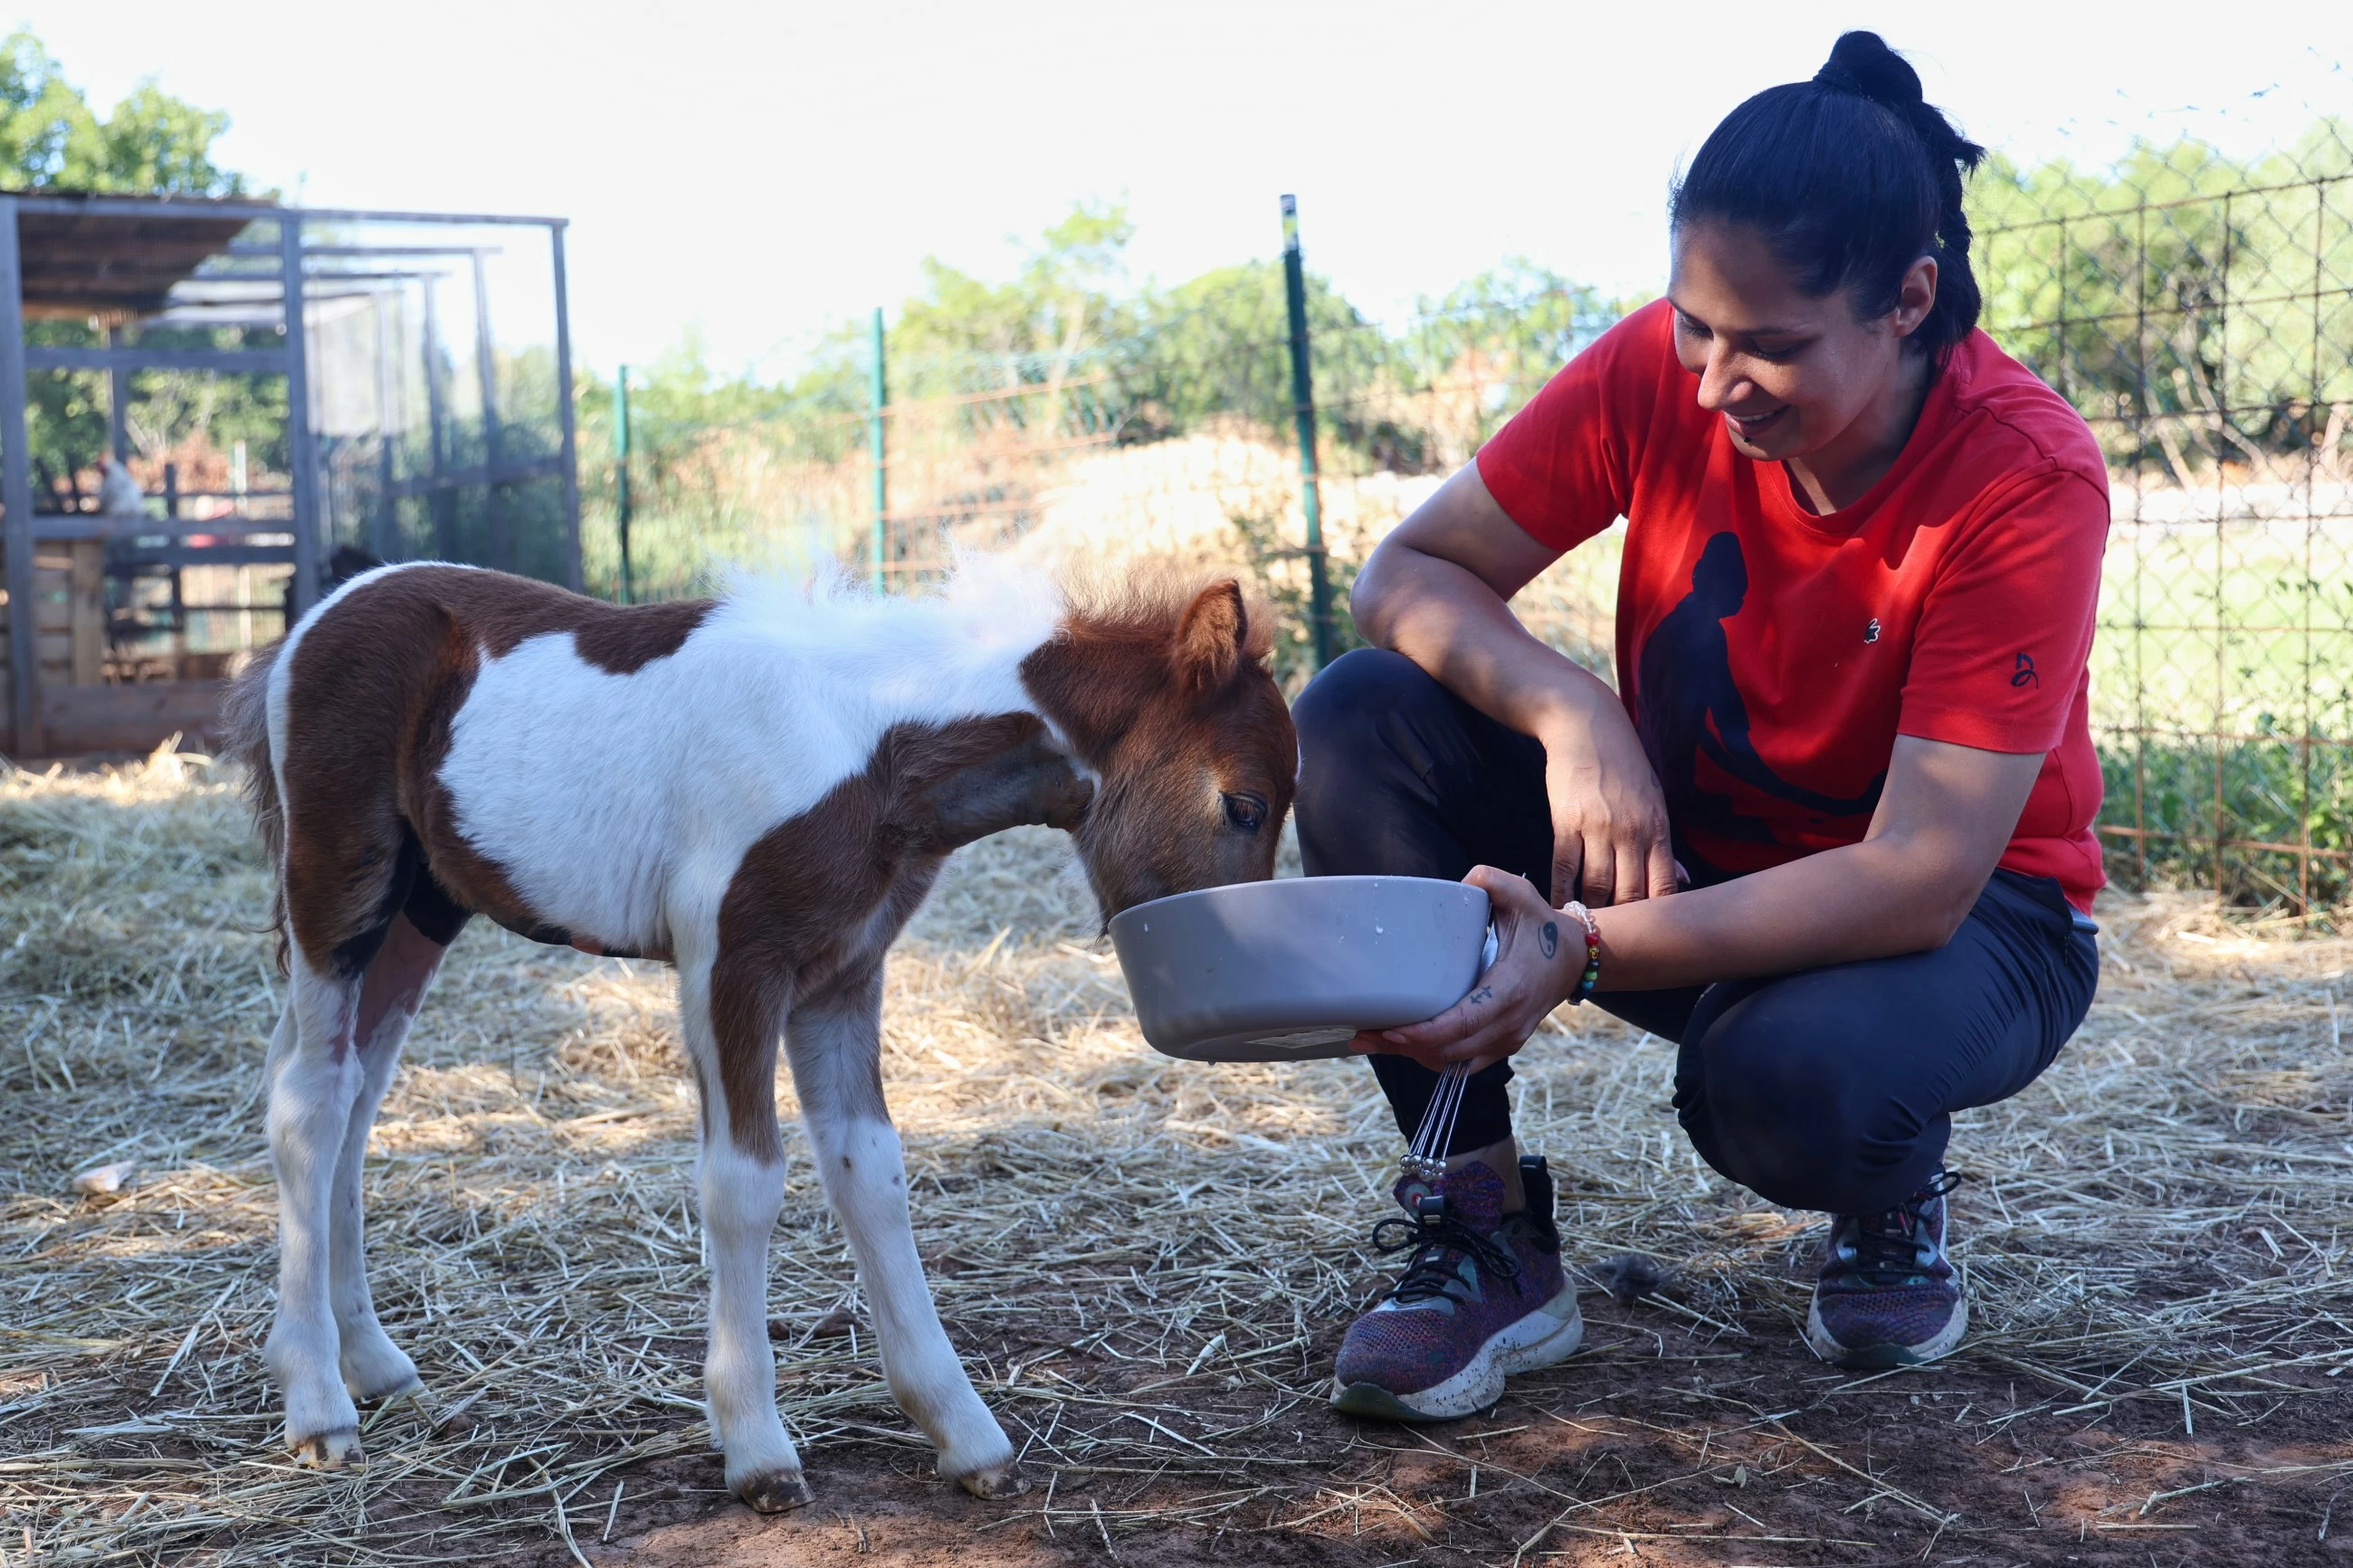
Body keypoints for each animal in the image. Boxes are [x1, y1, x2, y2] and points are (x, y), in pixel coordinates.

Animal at [220, 558, 1296, 1510]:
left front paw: (964, 1431)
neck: (869, 739)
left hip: (424, 907)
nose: (1240, 960)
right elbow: (744, 1182)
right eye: (1242, 803)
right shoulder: (732, 963)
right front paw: (757, 1447)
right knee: (309, 1102)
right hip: (341, 885)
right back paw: (317, 1401)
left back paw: (370, 1360)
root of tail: (315, 619)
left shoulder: (844, 975)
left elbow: (872, 1171)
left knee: (354, 1096)